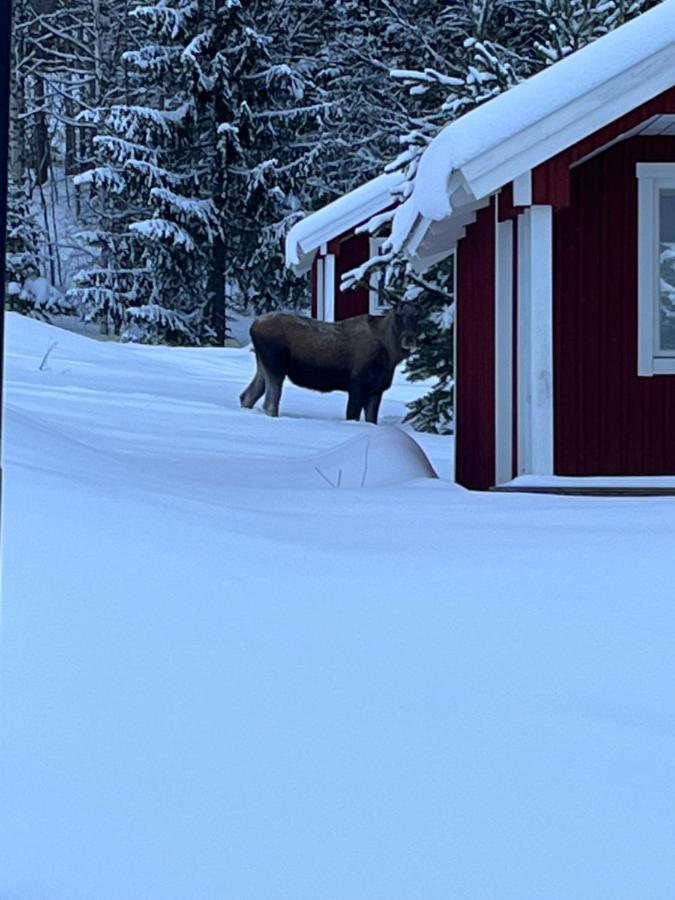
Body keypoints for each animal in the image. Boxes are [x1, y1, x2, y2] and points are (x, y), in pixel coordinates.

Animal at [238, 306, 418, 426]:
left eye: (418, 315)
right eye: (398, 315)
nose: (410, 338)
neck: (390, 355)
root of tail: (253, 326)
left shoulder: (377, 390)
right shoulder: (357, 385)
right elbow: (352, 415)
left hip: (263, 365)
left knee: (247, 396)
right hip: (275, 365)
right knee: (269, 404)